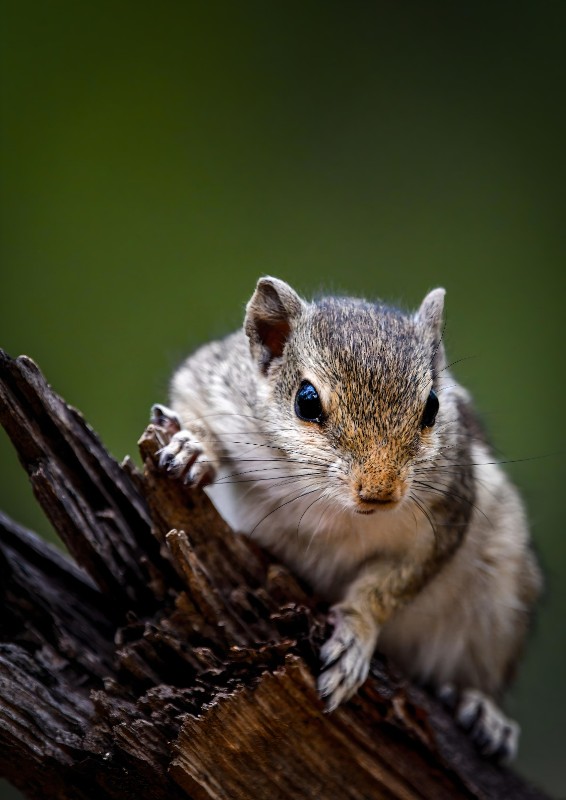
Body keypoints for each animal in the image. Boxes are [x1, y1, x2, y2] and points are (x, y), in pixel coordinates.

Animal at [152, 276, 541, 762]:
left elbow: (388, 588)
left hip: (500, 600)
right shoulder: (217, 382)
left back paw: (483, 711)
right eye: (306, 401)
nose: (379, 492)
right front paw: (196, 448)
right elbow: (189, 393)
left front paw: (356, 633)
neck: (332, 505)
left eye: (433, 407)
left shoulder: (449, 513)